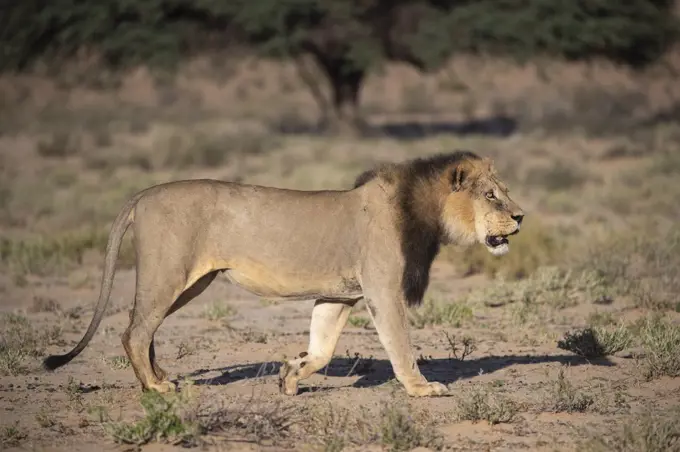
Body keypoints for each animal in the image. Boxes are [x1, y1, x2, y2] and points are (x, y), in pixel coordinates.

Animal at [42, 150, 524, 398]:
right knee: (135, 331)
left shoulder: (339, 295)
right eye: (491, 196)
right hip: (169, 274)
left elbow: (323, 349)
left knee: (142, 326)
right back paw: (156, 388)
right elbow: (400, 346)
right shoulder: (382, 289)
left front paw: (289, 375)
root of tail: (143, 193)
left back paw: (161, 377)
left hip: (189, 283)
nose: (521, 216)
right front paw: (421, 388)